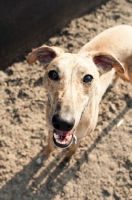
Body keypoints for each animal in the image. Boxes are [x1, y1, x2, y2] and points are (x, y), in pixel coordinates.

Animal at [26, 25, 132, 159]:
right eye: (53, 74)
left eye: (88, 78)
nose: (63, 123)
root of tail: (128, 26)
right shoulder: (50, 129)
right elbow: (50, 145)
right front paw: (45, 155)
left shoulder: (82, 137)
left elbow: (72, 149)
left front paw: (66, 159)